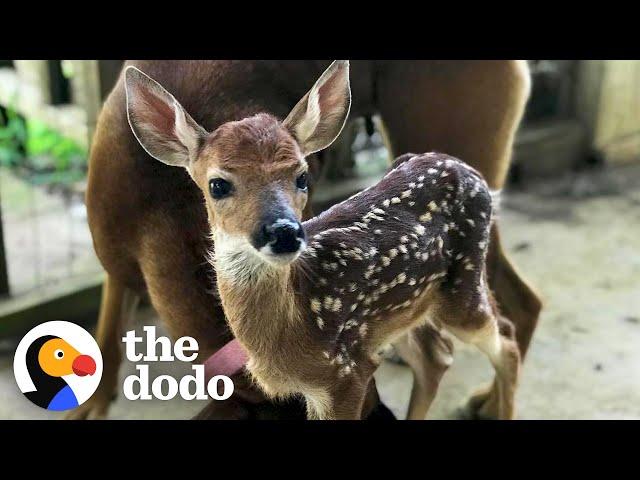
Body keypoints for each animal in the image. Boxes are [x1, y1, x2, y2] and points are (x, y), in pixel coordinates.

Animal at [70, 60, 540, 420]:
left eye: (302, 176)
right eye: (218, 184)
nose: (284, 232)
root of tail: (464, 169)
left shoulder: (345, 374)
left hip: (462, 284)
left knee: (506, 337)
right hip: (402, 309)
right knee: (437, 356)